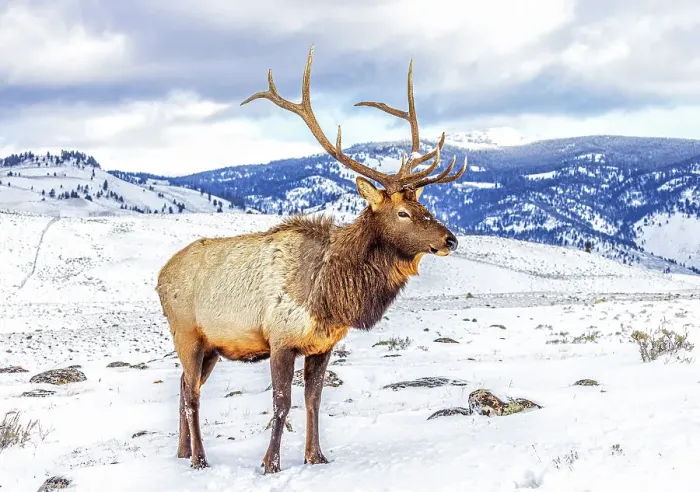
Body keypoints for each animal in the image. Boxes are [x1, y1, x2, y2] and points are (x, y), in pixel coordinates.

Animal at [155, 45, 466, 473]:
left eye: (425, 206)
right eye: (403, 212)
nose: (450, 239)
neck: (331, 295)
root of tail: (159, 275)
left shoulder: (323, 345)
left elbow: (313, 400)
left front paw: (316, 456)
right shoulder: (281, 339)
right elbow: (281, 404)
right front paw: (270, 463)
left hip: (212, 346)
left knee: (185, 384)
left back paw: (183, 450)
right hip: (187, 333)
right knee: (192, 394)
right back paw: (200, 458)